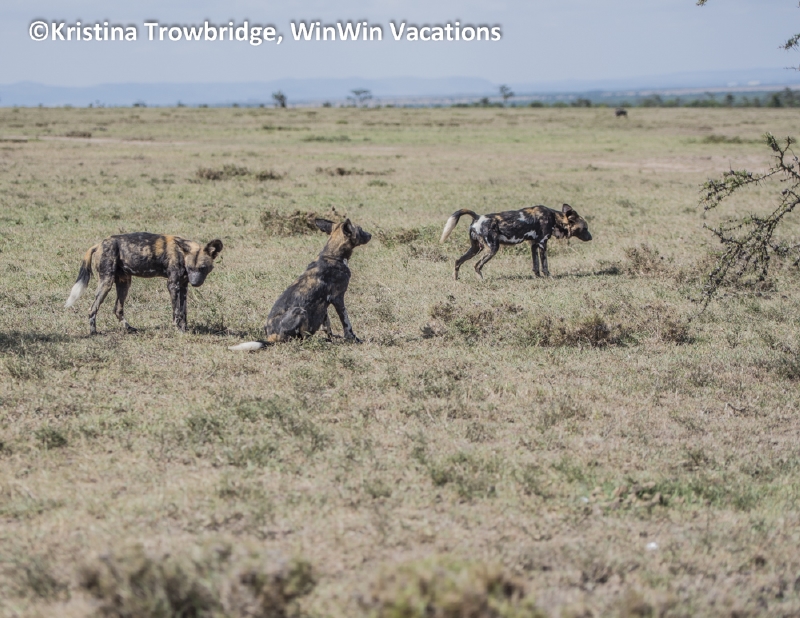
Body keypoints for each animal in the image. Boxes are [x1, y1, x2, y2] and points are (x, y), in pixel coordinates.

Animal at [65, 232, 223, 334]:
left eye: (202, 268)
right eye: (190, 268)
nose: (195, 282)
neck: (181, 253)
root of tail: (98, 244)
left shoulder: (183, 286)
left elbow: (183, 312)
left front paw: (185, 329)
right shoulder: (173, 285)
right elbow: (176, 312)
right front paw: (178, 331)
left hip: (124, 283)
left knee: (117, 309)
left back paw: (130, 329)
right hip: (106, 282)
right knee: (92, 308)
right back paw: (93, 332)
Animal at [229, 218, 371, 350]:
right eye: (361, 229)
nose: (370, 234)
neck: (333, 256)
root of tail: (271, 337)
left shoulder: (324, 304)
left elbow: (327, 326)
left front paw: (331, 337)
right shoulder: (338, 299)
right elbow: (347, 323)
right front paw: (353, 339)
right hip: (300, 311)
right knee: (302, 340)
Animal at [439, 204, 592, 280]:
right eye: (585, 228)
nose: (591, 237)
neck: (555, 218)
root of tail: (477, 217)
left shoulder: (533, 244)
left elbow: (536, 265)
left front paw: (538, 277)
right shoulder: (542, 244)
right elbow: (545, 265)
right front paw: (548, 277)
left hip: (475, 248)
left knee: (458, 261)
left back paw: (456, 279)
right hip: (492, 249)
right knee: (477, 265)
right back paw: (482, 280)